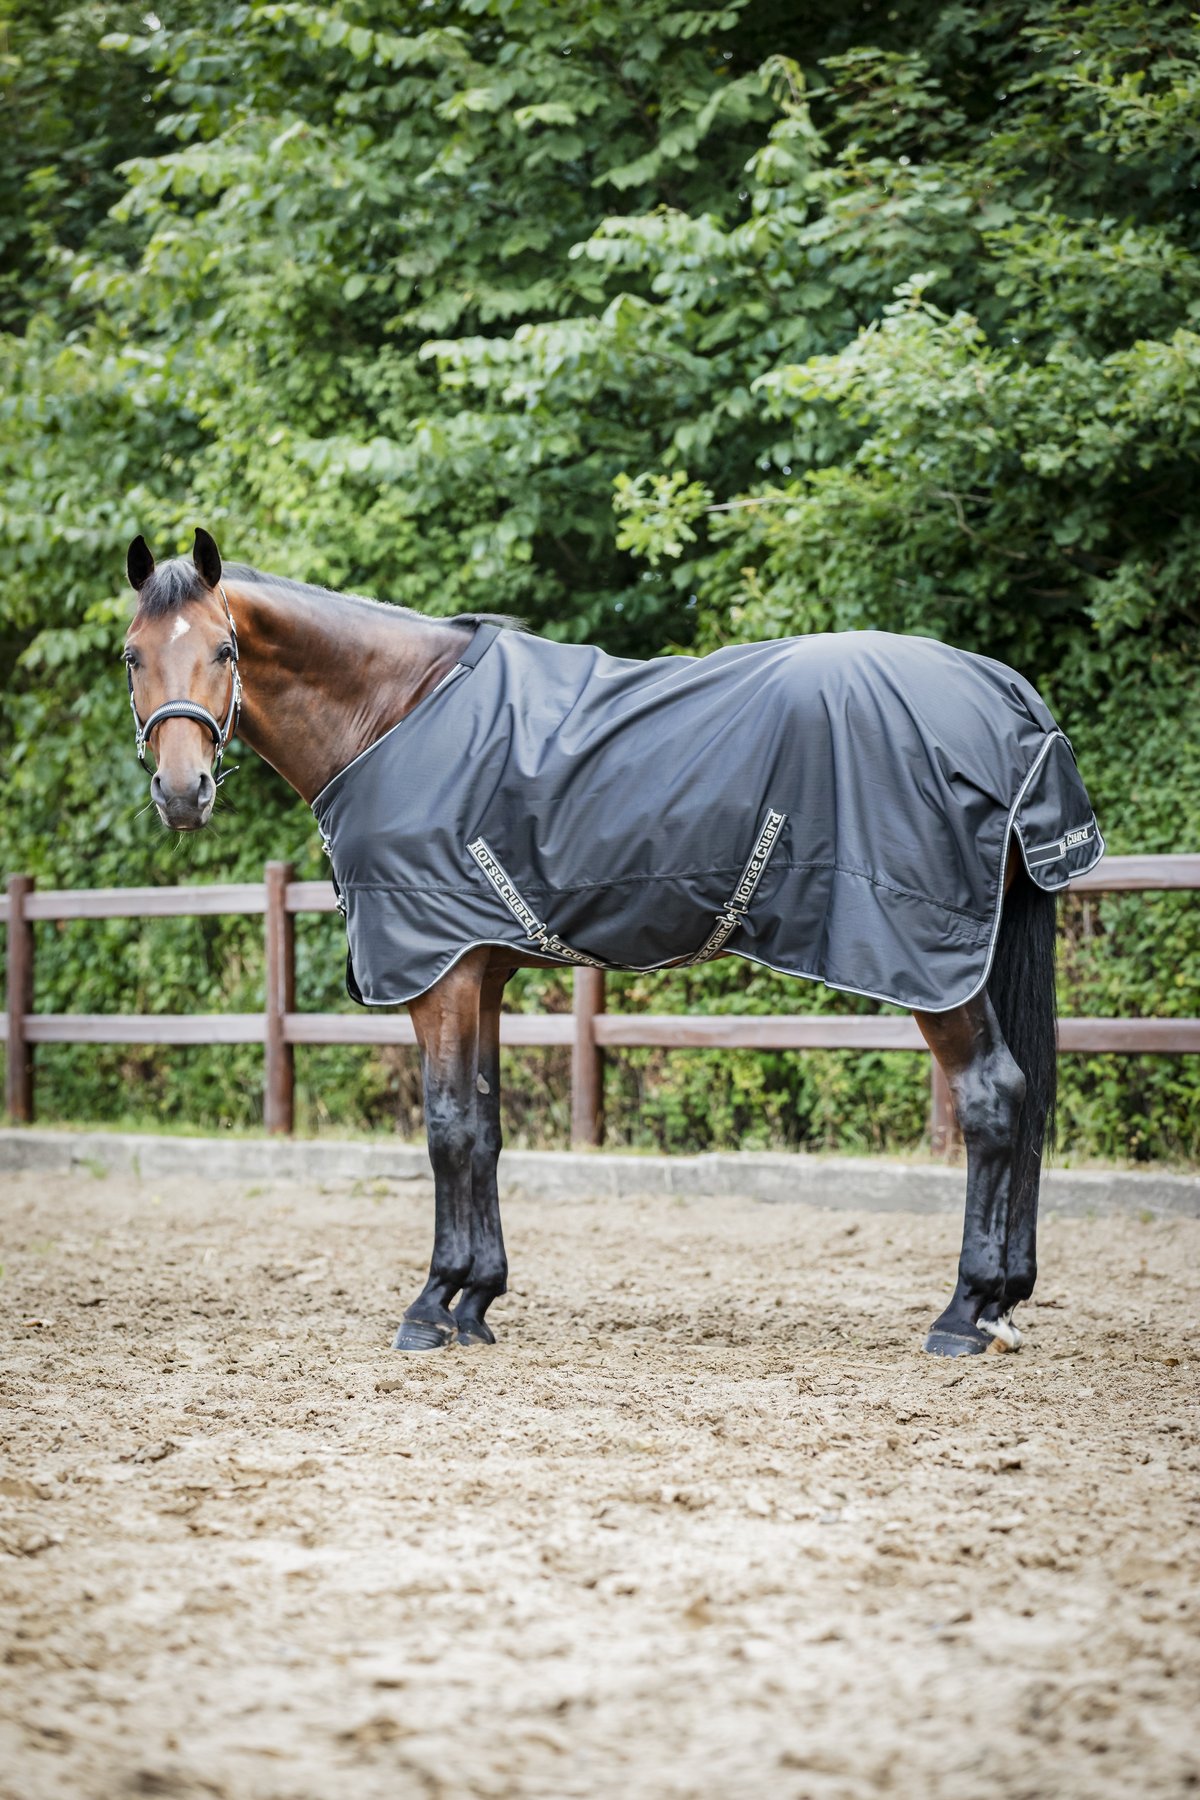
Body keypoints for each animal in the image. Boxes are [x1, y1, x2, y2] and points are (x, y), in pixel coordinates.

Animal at [122, 528, 1101, 1358]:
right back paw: (1004, 1302)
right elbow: (485, 1128)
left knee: (993, 1098)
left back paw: (964, 1313)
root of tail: (1005, 696)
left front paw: (430, 1304)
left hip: (936, 966)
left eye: (226, 650)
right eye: (133, 654)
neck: (395, 713)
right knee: (1024, 1101)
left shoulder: (439, 974)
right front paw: (475, 1301)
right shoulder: (480, 971)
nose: (182, 791)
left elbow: (446, 1127)